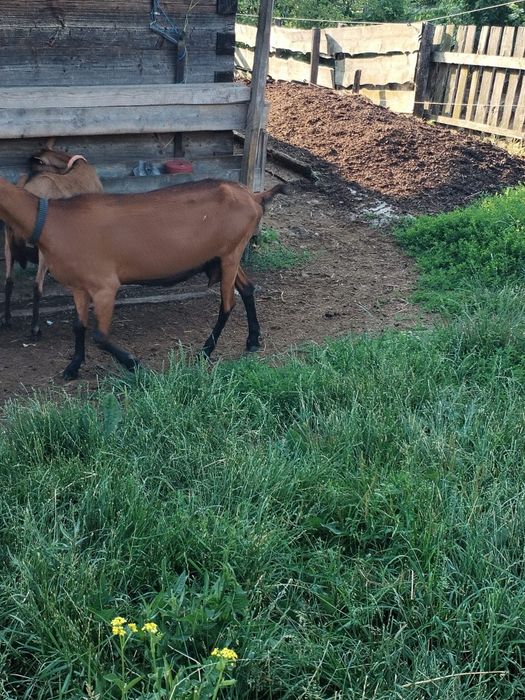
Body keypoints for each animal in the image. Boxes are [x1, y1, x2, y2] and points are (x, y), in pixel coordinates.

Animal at [0, 177, 287, 379]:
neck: (50, 221)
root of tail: (254, 196)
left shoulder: (105, 286)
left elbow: (100, 337)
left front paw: (135, 364)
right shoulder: (79, 287)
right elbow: (78, 327)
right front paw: (73, 367)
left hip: (230, 253)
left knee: (228, 304)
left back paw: (205, 351)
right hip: (223, 256)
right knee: (248, 289)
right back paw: (252, 340)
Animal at [2, 143, 103, 337]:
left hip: (8, 241)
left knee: (8, 281)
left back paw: (7, 320)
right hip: (42, 248)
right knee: (37, 287)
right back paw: (35, 328)